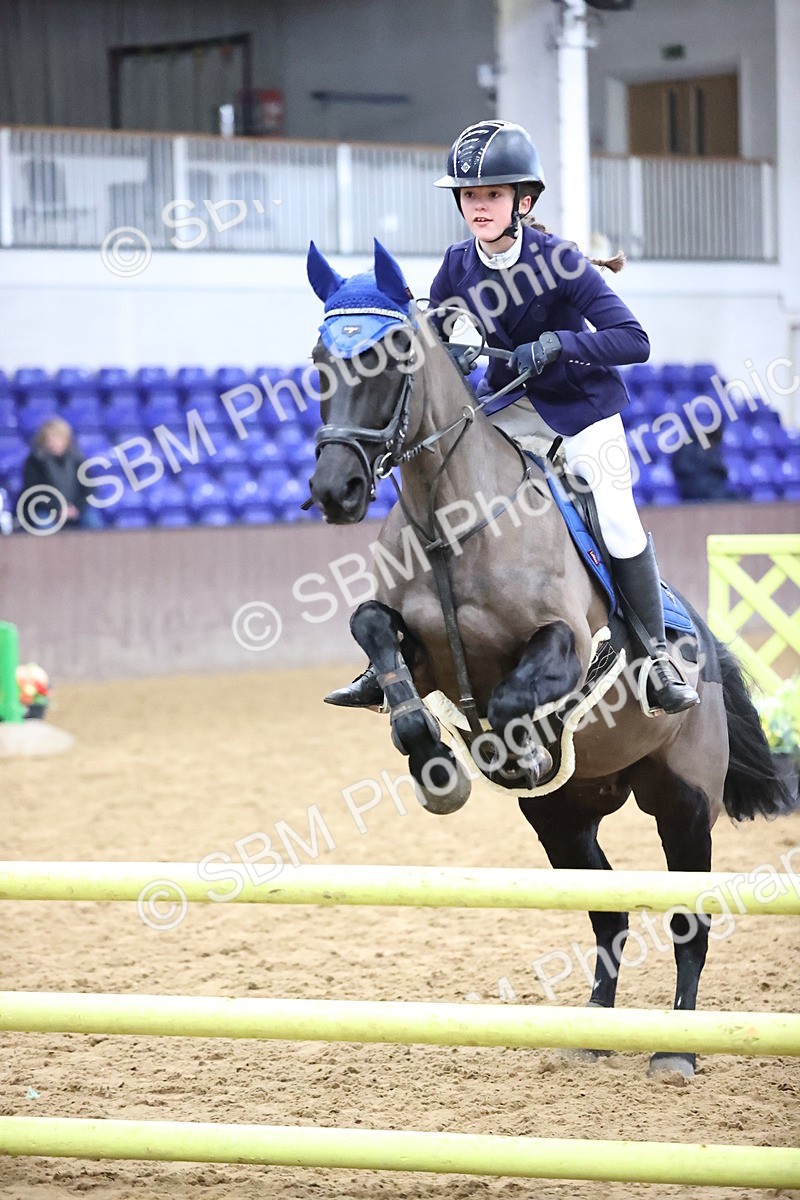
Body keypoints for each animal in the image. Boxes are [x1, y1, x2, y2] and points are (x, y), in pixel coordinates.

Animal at [306, 239, 790, 1080]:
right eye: (318, 363)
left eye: (387, 359)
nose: (335, 489)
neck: (450, 522)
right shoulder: (418, 651)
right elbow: (377, 638)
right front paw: (436, 766)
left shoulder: (566, 648)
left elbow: (512, 696)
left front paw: (515, 751)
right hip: (566, 818)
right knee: (605, 913)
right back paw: (593, 1029)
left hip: (683, 799)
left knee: (688, 918)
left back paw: (676, 1046)